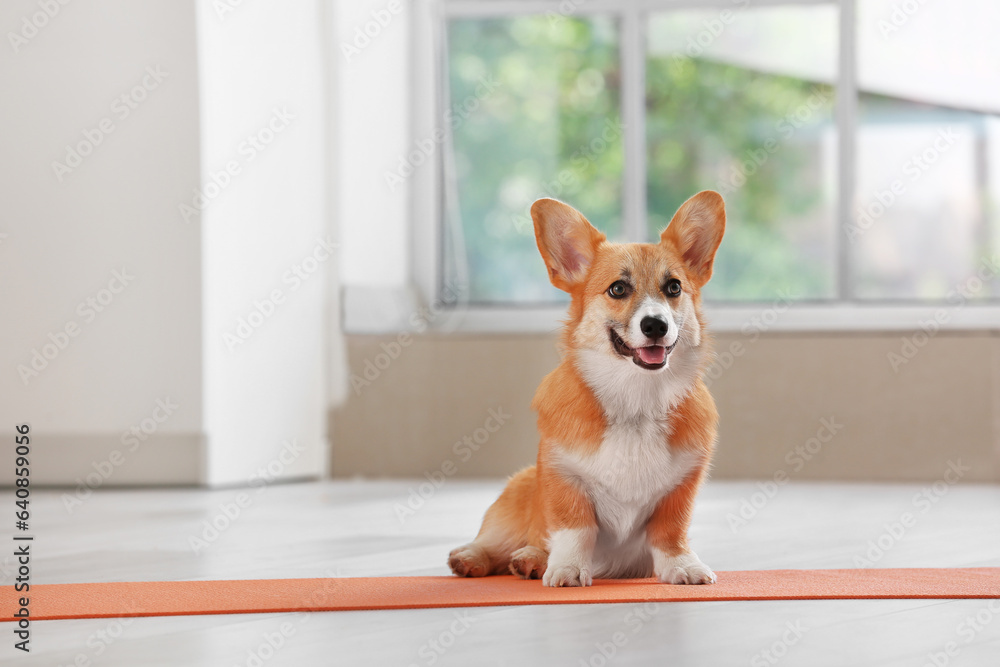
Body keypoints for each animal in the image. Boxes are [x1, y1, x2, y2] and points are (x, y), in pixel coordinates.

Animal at [450, 190, 724, 588]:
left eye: (673, 287)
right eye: (618, 289)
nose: (655, 325)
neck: (635, 400)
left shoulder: (681, 487)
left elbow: (670, 533)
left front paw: (683, 566)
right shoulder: (564, 476)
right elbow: (575, 529)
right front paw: (566, 568)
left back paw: (530, 561)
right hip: (520, 490)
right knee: (499, 542)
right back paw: (490, 558)